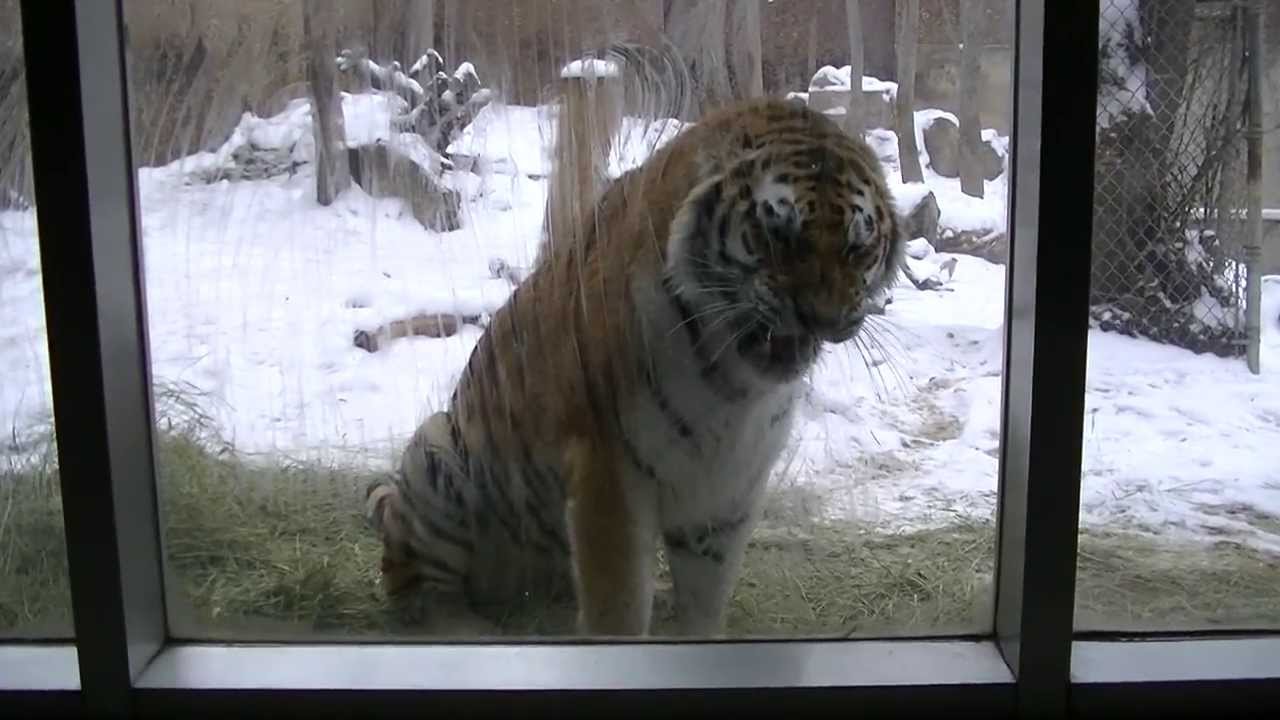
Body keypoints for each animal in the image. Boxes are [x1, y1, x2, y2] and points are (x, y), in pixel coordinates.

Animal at [365, 54, 905, 638]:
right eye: (778, 235)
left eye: (857, 246)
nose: (821, 318)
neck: (735, 383)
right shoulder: (609, 471)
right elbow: (617, 609)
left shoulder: (730, 488)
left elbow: (704, 598)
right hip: (436, 451)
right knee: (412, 585)